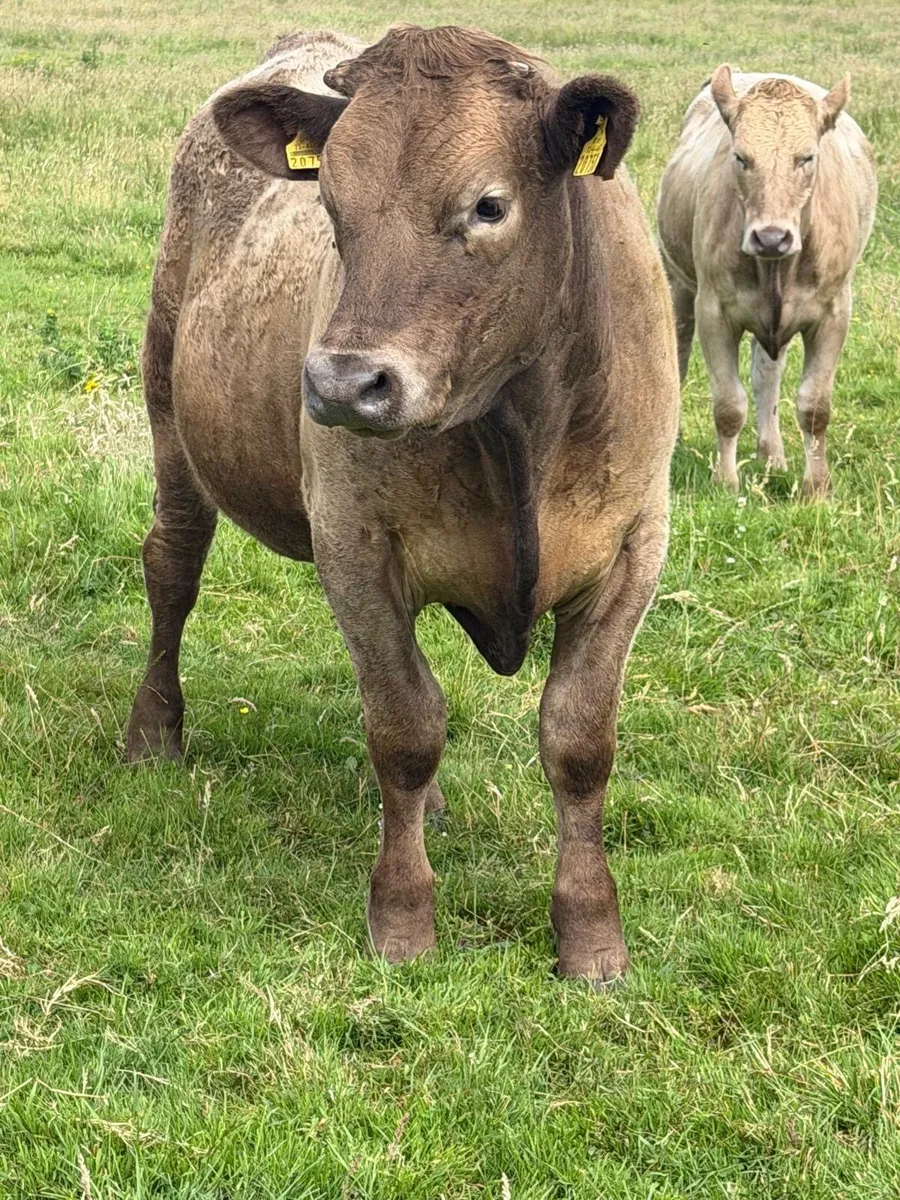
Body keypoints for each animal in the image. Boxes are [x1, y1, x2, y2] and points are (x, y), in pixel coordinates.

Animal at [126, 25, 679, 985]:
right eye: (331, 206)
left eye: (489, 206)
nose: (345, 383)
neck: (518, 426)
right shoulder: (356, 546)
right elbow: (405, 728)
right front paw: (404, 918)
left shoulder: (634, 550)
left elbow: (578, 741)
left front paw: (590, 934)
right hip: (172, 415)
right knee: (173, 570)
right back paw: (154, 731)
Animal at [657, 67, 876, 496]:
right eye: (741, 158)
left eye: (807, 157)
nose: (772, 237)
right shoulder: (713, 310)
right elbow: (728, 405)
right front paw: (725, 483)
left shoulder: (834, 313)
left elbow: (814, 406)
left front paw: (816, 487)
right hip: (678, 283)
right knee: (679, 355)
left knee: (766, 377)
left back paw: (772, 455)